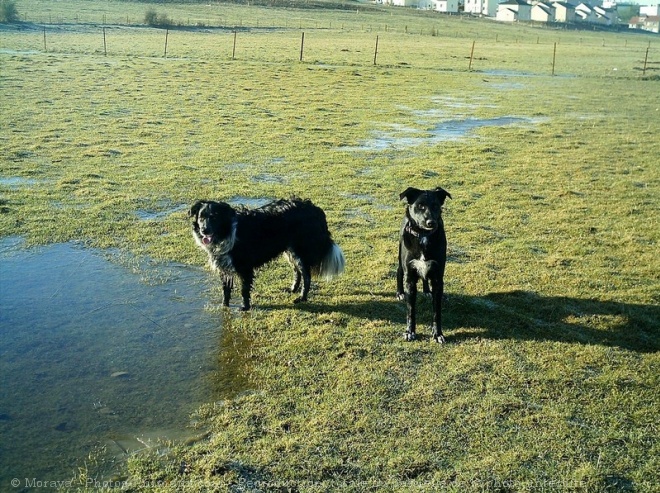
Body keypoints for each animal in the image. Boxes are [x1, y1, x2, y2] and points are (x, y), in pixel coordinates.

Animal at [189, 196, 346, 308]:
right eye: (201, 218)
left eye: (214, 217)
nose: (204, 230)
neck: (227, 232)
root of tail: (315, 208)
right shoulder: (224, 266)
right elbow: (225, 290)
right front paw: (225, 306)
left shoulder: (244, 267)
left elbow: (244, 290)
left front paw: (244, 307)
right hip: (290, 251)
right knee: (297, 271)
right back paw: (293, 289)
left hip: (300, 251)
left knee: (306, 275)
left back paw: (302, 297)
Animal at [394, 186, 452, 344]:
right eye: (420, 206)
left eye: (436, 205)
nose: (431, 222)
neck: (423, 236)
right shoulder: (410, 278)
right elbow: (410, 311)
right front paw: (410, 332)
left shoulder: (437, 277)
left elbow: (437, 312)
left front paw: (438, 334)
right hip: (400, 257)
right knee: (398, 271)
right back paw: (400, 293)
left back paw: (426, 290)